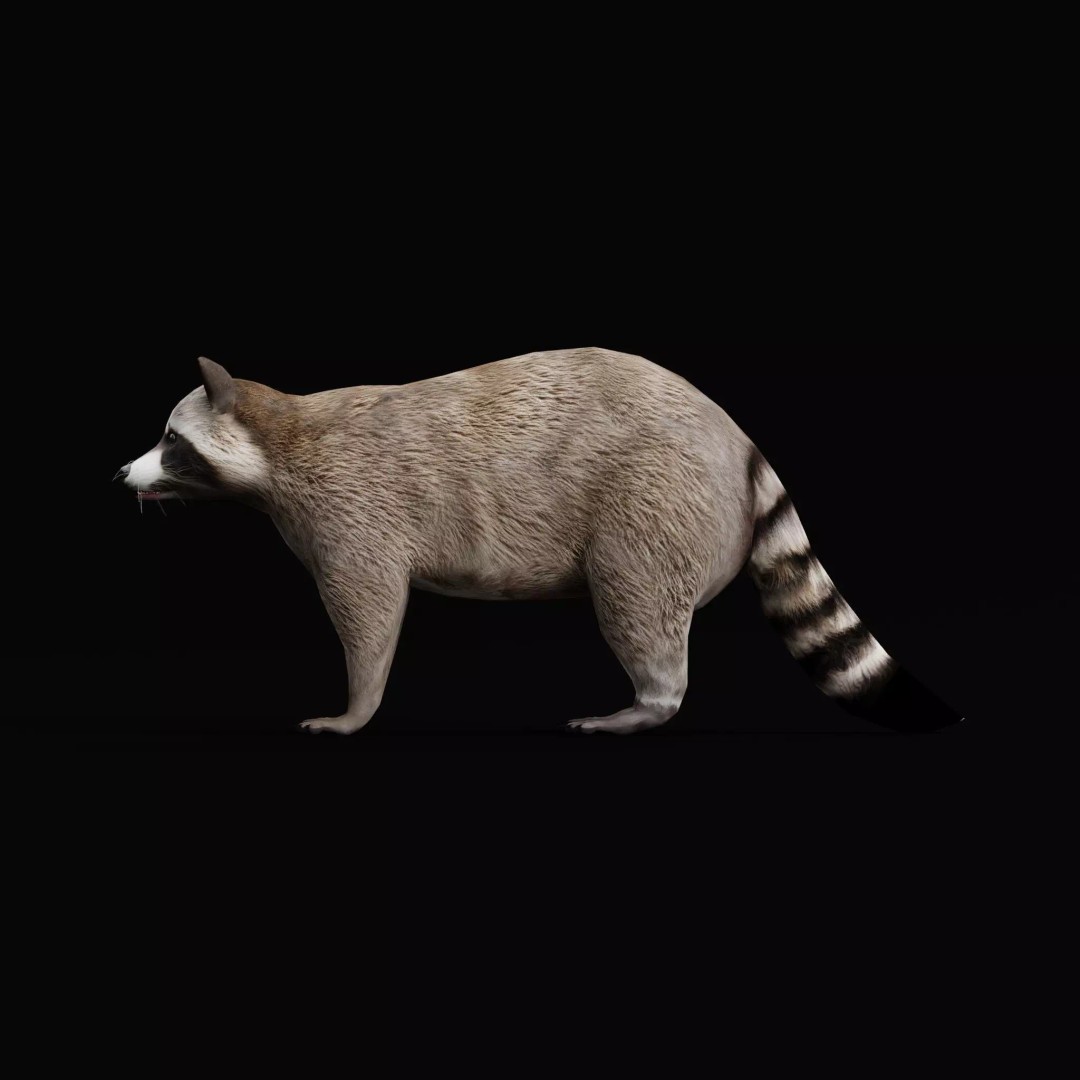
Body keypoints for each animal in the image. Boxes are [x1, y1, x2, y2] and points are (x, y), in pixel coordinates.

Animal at [119, 350, 962, 734]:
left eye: (170, 441)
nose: (123, 471)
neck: (279, 428)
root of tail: (734, 434)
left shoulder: (352, 509)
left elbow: (370, 612)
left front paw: (356, 707)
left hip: (656, 497)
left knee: (636, 595)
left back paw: (648, 702)